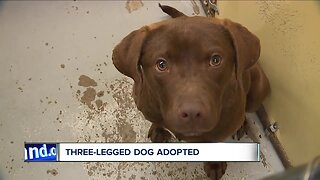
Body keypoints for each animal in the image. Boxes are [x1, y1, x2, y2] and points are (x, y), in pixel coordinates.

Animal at [112, 4, 270, 180]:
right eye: (161, 64)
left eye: (216, 60)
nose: (192, 113)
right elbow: (156, 120)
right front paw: (158, 129)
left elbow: (215, 142)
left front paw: (215, 164)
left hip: (259, 89)